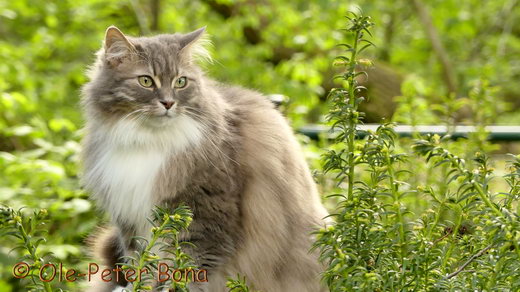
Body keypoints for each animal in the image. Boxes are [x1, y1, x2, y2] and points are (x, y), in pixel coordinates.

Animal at [80, 26, 328, 290]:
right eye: (145, 81)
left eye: (180, 82)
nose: (168, 103)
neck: (148, 140)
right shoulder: (129, 220)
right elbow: (141, 266)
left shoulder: (206, 219)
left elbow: (186, 272)